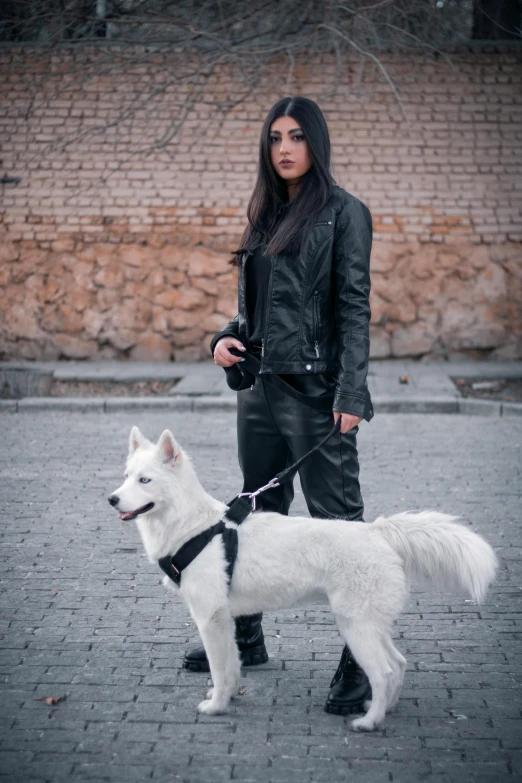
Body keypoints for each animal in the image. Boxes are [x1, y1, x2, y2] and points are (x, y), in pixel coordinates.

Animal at [108, 426, 496, 732]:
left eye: (145, 480)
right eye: (126, 475)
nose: (111, 499)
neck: (194, 527)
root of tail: (376, 531)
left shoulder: (210, 619)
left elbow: (219, 669)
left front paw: (216, 706)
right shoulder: (226, 620)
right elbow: (232, 666)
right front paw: (228, 696)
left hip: (356, 627)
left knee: (384, 672)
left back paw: (369, 722)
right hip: (369, 625)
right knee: (398, 665)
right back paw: (385, 709)